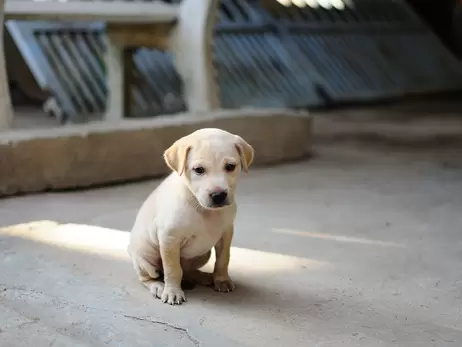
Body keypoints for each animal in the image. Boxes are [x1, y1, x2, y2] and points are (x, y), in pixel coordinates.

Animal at [128, 128, 254, 304]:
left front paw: (222, 280)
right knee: (149, 277)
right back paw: (158, 286)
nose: (218, 195)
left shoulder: (226, 233)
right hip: (145, 257)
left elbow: (223, 260)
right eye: (199, 170)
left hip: (203, 254)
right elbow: (173, 269)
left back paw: (202, 277)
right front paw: (172, 291)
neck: (201, 208)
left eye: (230, 166)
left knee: (187, 271)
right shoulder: (169, 239)